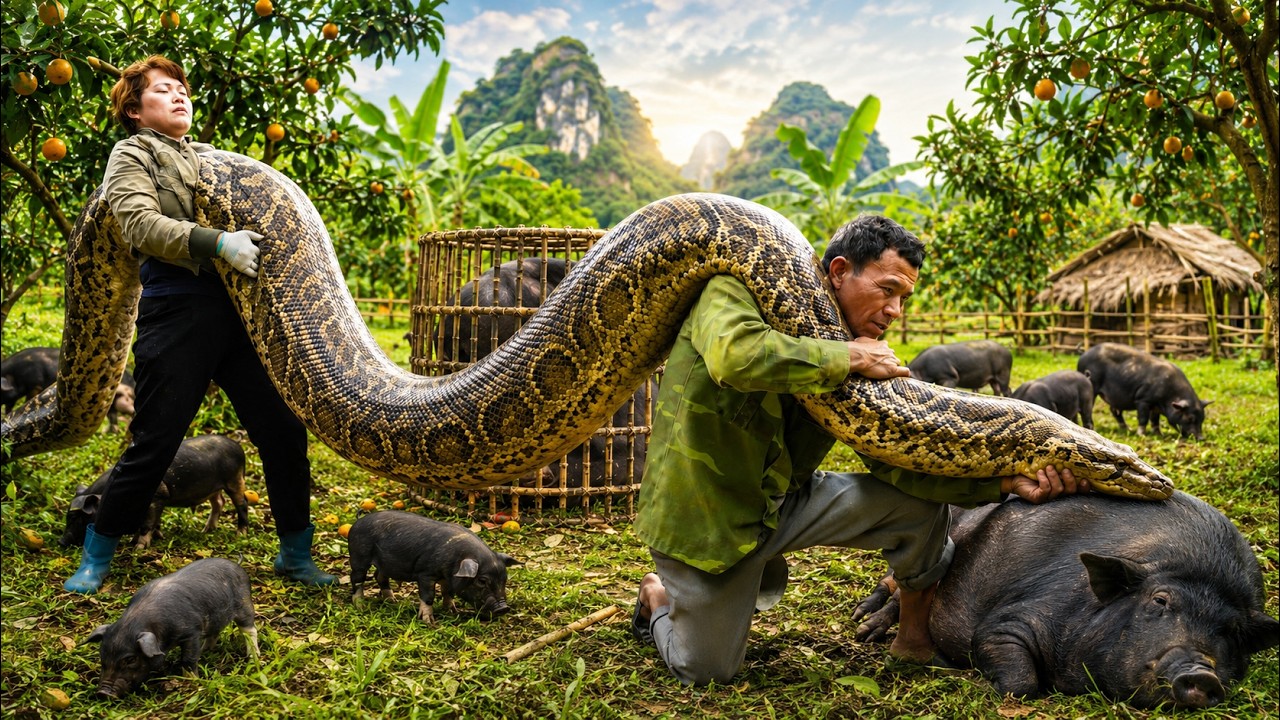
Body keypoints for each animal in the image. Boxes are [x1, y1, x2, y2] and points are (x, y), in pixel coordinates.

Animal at [60, 434, 249, 550]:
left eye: (77, 517)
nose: (61, 541)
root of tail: (237, 444)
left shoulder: (158, 498)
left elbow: (147, 524)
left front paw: (138, 548)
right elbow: (153, 522)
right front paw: (154, 538)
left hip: (235, 479)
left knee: (242, 503)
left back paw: (240, 534)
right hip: (214, 488)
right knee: (219, 502)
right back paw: (206, 530)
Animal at [87, 558, 259, 699]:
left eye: (131, 659)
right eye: (102, 655)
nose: (103, 693)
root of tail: (237, 565)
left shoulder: (192, 632)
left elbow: (188, 659)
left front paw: (192, 682)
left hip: (243, 603)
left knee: (250, 629)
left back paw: (253, 657)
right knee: (214, 632)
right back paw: (205, 651)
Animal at [347, 510, 521, 624]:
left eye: (504, 579)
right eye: (482, 581)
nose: (503, 608)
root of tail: (359, 521)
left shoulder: (448, 578)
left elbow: (447, 593)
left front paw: (452, 611)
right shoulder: (425, 574)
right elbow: (428, 596)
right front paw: (429, 622)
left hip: (383, 563)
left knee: (380, 576)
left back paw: (393, 601)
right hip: (358, 556)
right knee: (356, 578)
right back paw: (360, 606)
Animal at [851, 491, 1279, 709]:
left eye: (1232, 630)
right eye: (1160, 601)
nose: (1201, 671)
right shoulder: (1022, 614)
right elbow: (1018, 678)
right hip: (946, 539)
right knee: (903, 588)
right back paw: (864, 628)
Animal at [1077, 342, 1210, 439]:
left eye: (1202, 418)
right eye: (1190, 418)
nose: (1201, 438)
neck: (1169, 396)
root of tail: (1084, 353)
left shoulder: (1156, 407)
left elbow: (1155, 421)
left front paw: (1159, 435)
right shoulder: (1142, 399)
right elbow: (1143, 418)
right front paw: (1142, 435)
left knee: (1115, 411)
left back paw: (1127, 429)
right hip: (1092, 386)